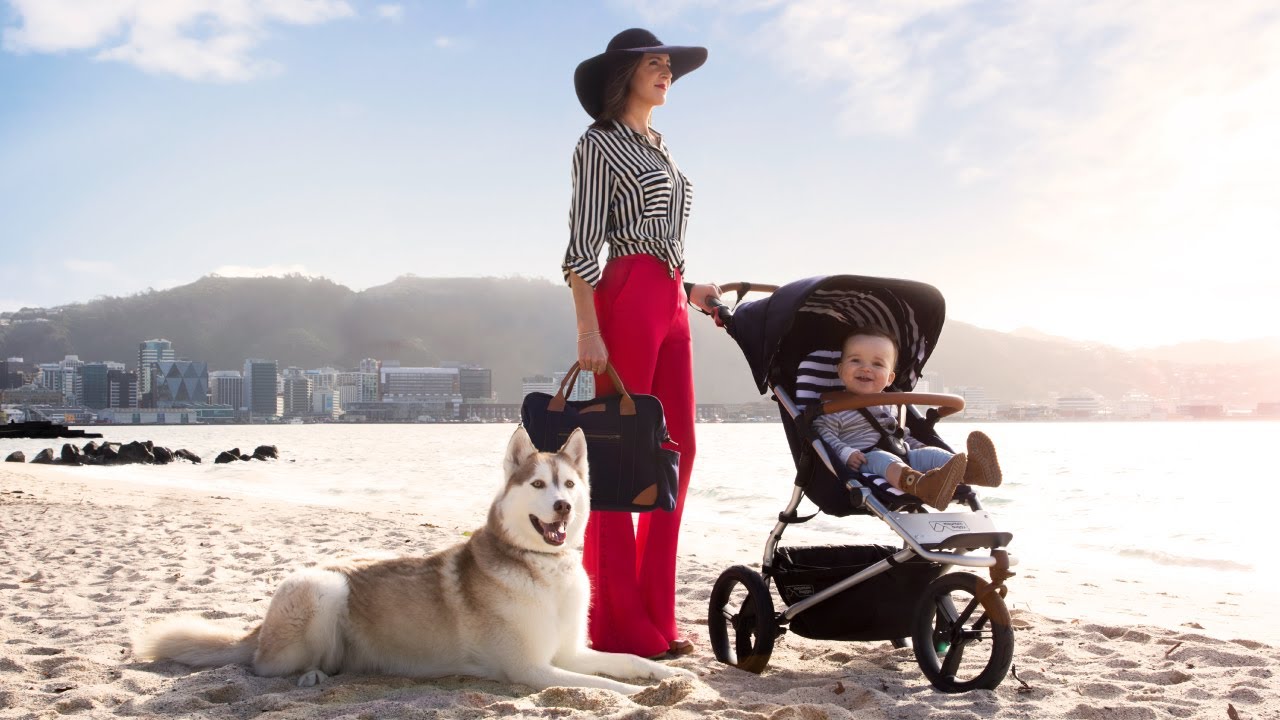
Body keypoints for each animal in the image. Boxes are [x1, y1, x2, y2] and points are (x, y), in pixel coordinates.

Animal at [136, 422, 696, 691]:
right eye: (538, 484)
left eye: (570, 485)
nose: (561, 505)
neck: (543, 570)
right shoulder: (533, 669)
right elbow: (601, 686)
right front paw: (636, 696)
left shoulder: (568, 652)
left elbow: (625, 661)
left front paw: (672, 676)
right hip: (323, 587)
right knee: (263, 666)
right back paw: (309, 676)